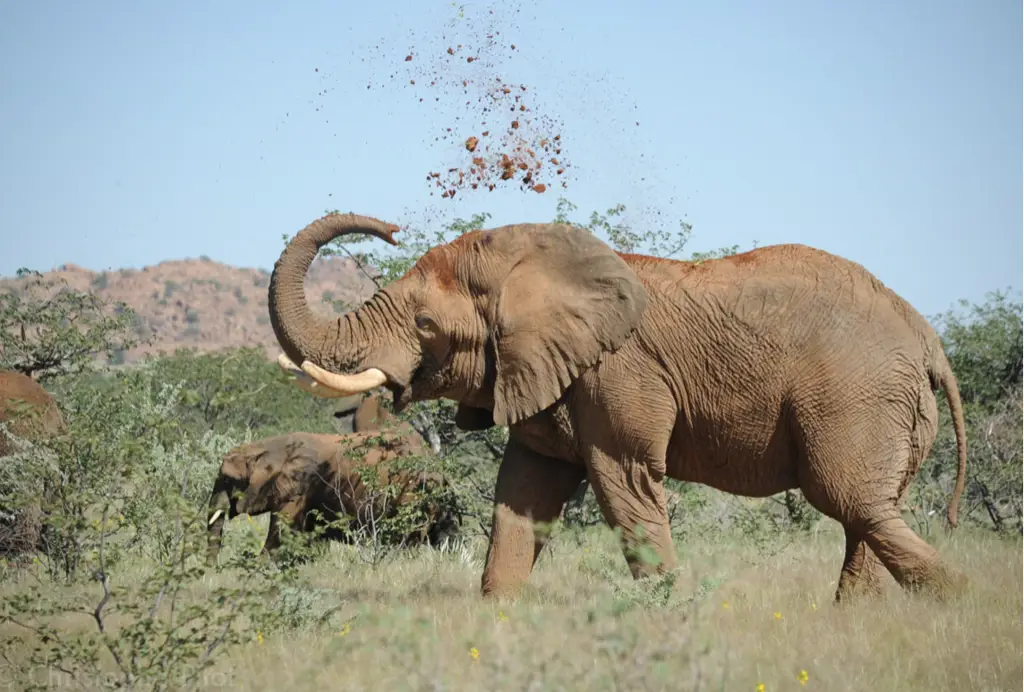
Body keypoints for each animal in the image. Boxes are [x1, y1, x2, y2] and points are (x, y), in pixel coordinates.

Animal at [204, 397, 460, 565]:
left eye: (229, 479)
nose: (213, 571)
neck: (267, 447)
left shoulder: (299, 487)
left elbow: (281, 529)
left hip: (415, 494)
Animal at [264, 209, 966, 601]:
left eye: (426, 325)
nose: (389, 228)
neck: (534, 264)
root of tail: (929, 340)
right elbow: (523, 494)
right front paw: (496, 620)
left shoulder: (617, 375)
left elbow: (624, 484)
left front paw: (670, 620)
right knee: (868, 512)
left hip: (857, 397)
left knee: (851, 501)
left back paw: (960, 604)